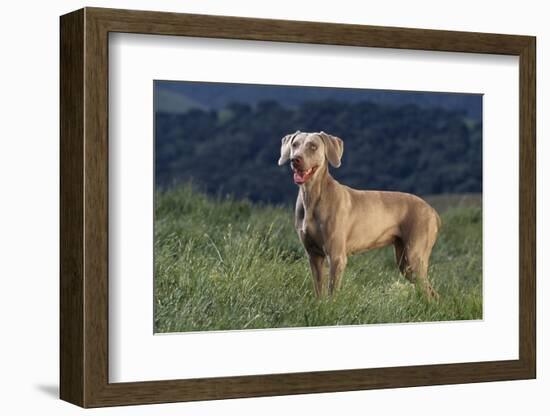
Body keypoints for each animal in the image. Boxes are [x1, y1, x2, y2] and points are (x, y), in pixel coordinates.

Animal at [278, 132, 442, 298]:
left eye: (313, 146)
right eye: (295, 145)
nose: (295, 159)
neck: (312, 197)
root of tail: (432, 211)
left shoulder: (336, 257)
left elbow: (332, 294)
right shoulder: (314, 256)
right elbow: (319, 291)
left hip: (414, 257)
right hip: (405, 262)